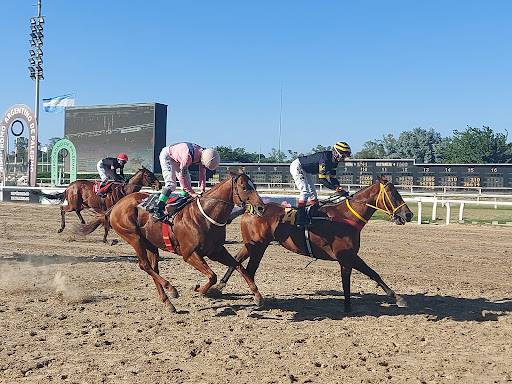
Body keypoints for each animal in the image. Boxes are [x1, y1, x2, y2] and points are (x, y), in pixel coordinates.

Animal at [79, 171, 268, 312]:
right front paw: (199, 289)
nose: (261, 208)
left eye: (254, 185)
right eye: (244, 187)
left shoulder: (216, 251)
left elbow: (239, 266)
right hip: (134, 237)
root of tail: (118, 205)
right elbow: (212, 276)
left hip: (150, 244)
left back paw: (168, 302)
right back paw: (172, 289)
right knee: (144, 265)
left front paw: (257, 296)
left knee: (153, 268)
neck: (205, 216)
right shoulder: (190, 254)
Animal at [215, 176, 412, 312]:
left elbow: (373, 273)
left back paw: (221, 286)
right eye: (393, 194)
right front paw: (348, 307)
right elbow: (347, 282)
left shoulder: (352, 255)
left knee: (238, 261)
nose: (408, 214)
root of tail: (249, 209)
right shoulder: (345, 256)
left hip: (252, 244)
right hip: (258, 245)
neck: (346, 217)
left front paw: (397, 298)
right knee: (248, 267)